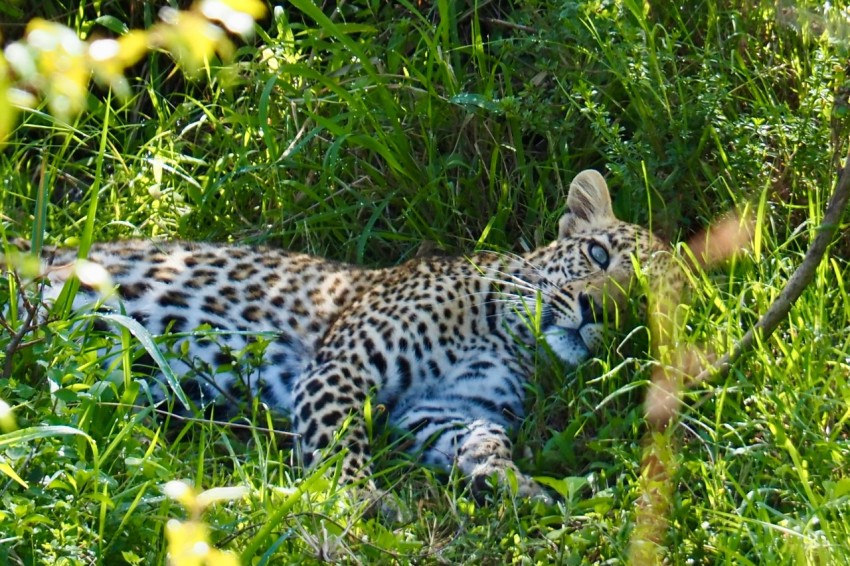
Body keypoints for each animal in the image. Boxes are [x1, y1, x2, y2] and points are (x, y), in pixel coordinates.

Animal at [19, 170, 672, 506]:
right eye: (597, 253)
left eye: (643, 307)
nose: (596, 311)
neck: (511, 337)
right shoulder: (343, 367)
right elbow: (339, 444)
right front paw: (360, 505)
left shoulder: (446, 408)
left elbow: (483, 441)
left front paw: (515, 484)